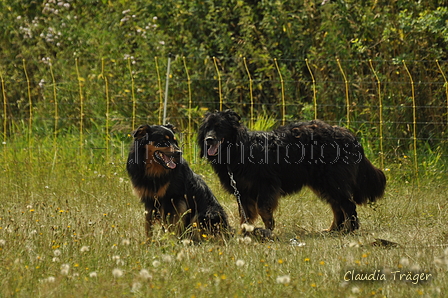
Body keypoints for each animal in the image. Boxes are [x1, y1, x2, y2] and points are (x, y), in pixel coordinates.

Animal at [198, 108, 386, 236]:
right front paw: (246, 233)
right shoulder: (243, 192)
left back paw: (350, 230)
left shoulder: (266, 184)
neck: (239, 149)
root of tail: (350, 136)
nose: (209, 140)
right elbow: (246, 216)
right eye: (207, 128)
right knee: (337, 206)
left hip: (332, 180)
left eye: (220, 126)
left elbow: (263, 209)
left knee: (347, 205)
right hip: (323, 183)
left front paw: (268, 231)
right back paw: (333, 230)